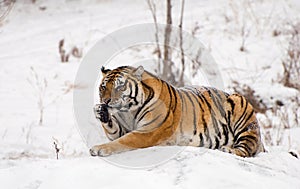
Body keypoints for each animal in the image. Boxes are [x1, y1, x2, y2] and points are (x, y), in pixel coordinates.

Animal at [89, 65, 264, 157]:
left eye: (120, 86)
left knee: (246, 149)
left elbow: (124, 140)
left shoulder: (148, 131)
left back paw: (228, 149)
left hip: (240, 104)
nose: (105, 101)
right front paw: (100, 111)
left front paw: (98, 148)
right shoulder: (122, 128)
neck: (128, 111)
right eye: (103, 87)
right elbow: (115, 132)